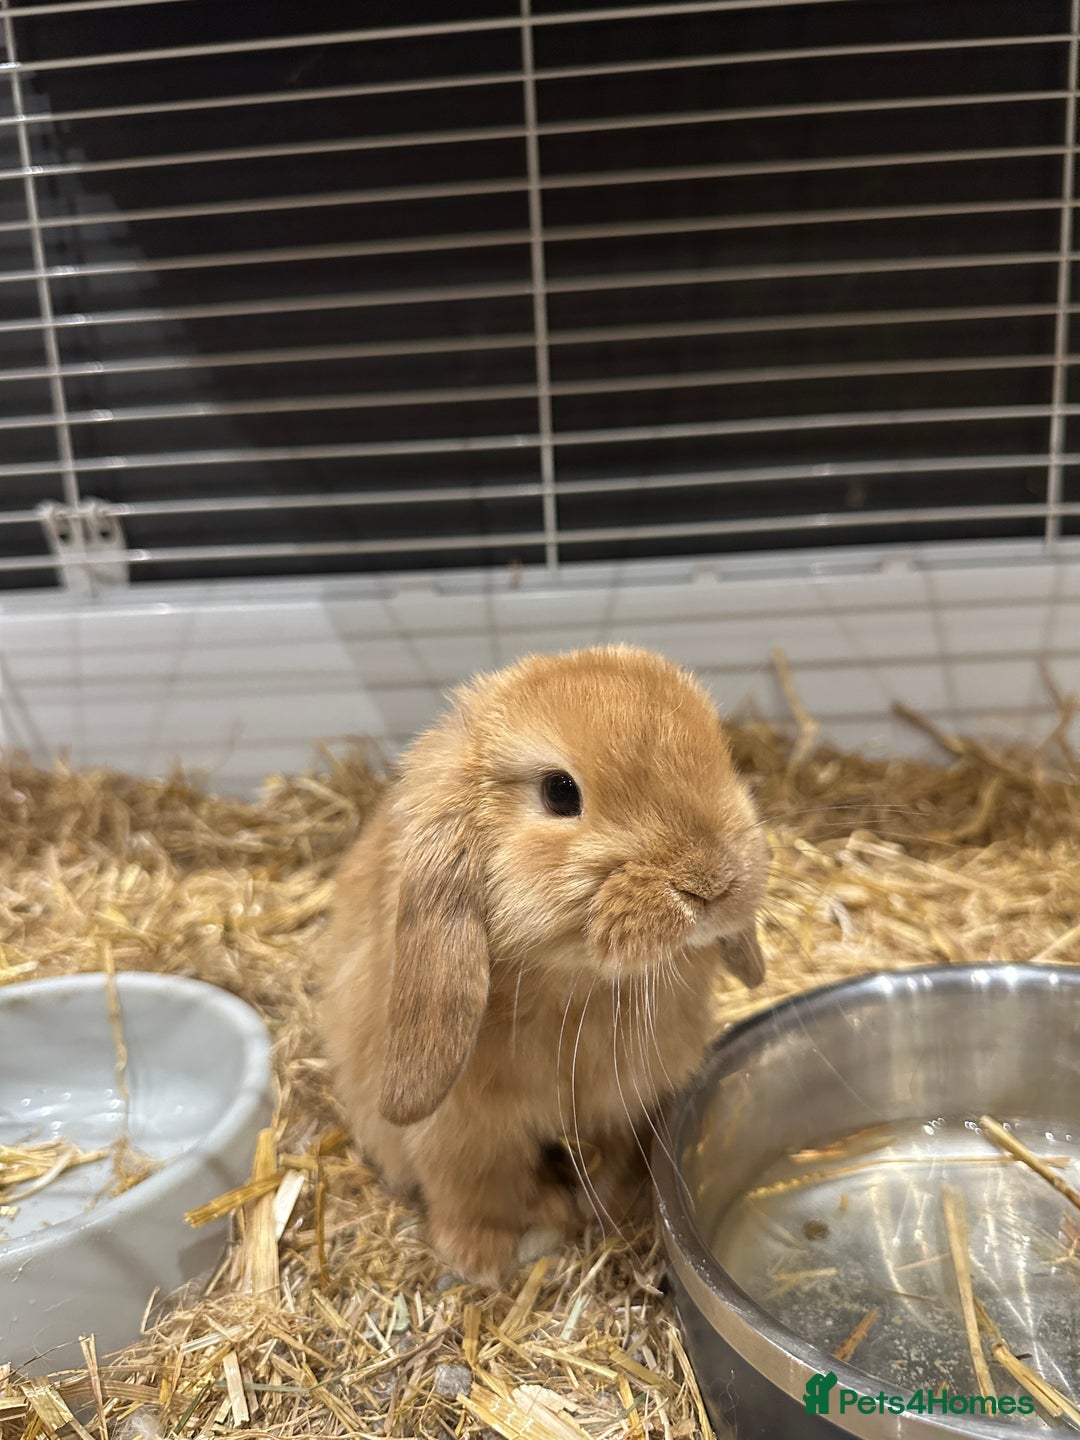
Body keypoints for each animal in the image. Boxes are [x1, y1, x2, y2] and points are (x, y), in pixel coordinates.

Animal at [320, 644, 768, 1284]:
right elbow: (476, 1187)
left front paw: (616, 1211)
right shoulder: (462, 1128)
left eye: (720, 757)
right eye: (560, 792)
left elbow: (619, 1159)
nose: (711, 883)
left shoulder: (629, 1105)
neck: (581, 986)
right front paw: (483, 1258)